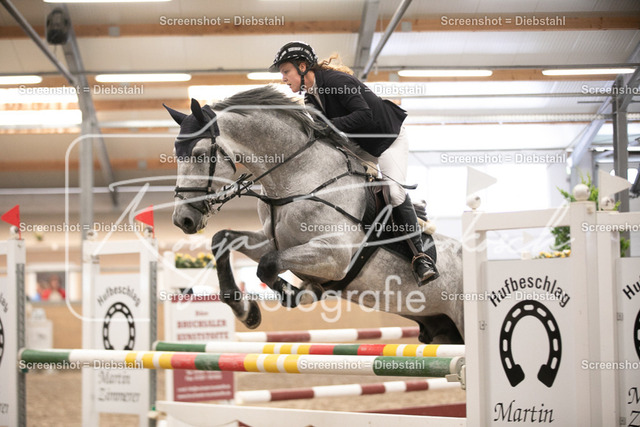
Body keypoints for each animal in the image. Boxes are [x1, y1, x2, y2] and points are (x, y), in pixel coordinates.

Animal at [165, 86, 464, 344]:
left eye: (199, 154)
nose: (183, 220)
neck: (296, 177)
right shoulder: (273, 242)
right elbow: (222, 239)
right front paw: (245, 311)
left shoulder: (334, 255)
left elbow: (269, 266)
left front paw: (303, 293)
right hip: (443, 329)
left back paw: (424, 267)